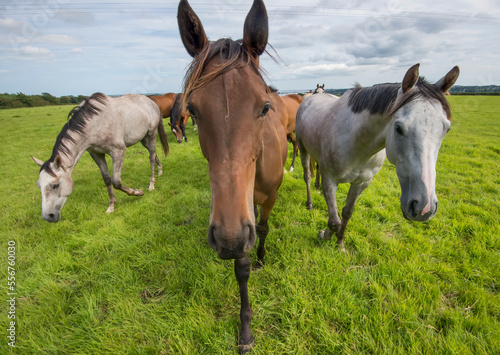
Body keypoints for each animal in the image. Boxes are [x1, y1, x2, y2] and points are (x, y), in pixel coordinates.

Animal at [33, 92, 171, 222]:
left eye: (55, 185)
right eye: (39, 185)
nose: (48, 216)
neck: (95, 123)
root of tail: (151, 101)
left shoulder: (118, 151)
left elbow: (116, 181)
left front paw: (137, 192)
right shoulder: (96, 154)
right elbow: (107, 179)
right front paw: (111, 206)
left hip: (151, 134)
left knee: (151, 157)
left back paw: (151, 184)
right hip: (143, 138)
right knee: (153, 154)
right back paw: (160, 170)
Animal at [177, 0, 286, 352]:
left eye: (264, 107)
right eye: (192, 111)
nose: (229, 239)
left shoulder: (265, 201)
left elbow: (262, 230)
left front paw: (263, 257)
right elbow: (241, 267)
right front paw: (246, 330)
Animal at [296, 64, 460, 250]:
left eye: (446, 129)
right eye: (398, 128)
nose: (424, 208)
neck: (357, 142)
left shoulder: (362, 182)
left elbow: (346, 213)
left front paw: (340, 243)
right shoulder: (330, 179)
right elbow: (334, 221)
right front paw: (325, 234)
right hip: (302, 148)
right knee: (307, 176)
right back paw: (309, 202)